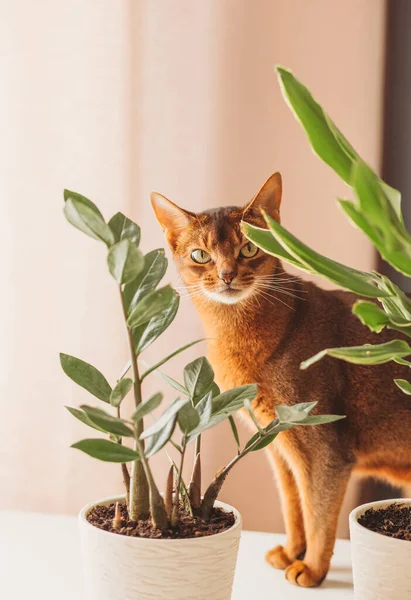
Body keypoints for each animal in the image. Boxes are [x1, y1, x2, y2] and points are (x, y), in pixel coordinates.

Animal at [150, 172, 411, 584]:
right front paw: (291, 552)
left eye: (247, 250)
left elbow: (318, 513)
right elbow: (293, 506)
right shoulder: (279, 445)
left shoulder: (324, 449)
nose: (226, 276)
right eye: (200, 255)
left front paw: (313, 569)